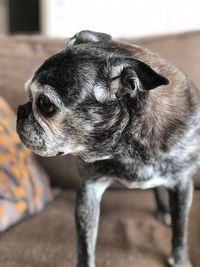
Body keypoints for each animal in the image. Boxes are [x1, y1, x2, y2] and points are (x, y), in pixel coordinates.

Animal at [15, 30, 198, 266]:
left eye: (46, 104)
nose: (20, 110)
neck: (126, 148)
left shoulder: (183, 185)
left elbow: (180, 230)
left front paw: (181, 260)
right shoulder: (89, 192)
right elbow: (85, 243)